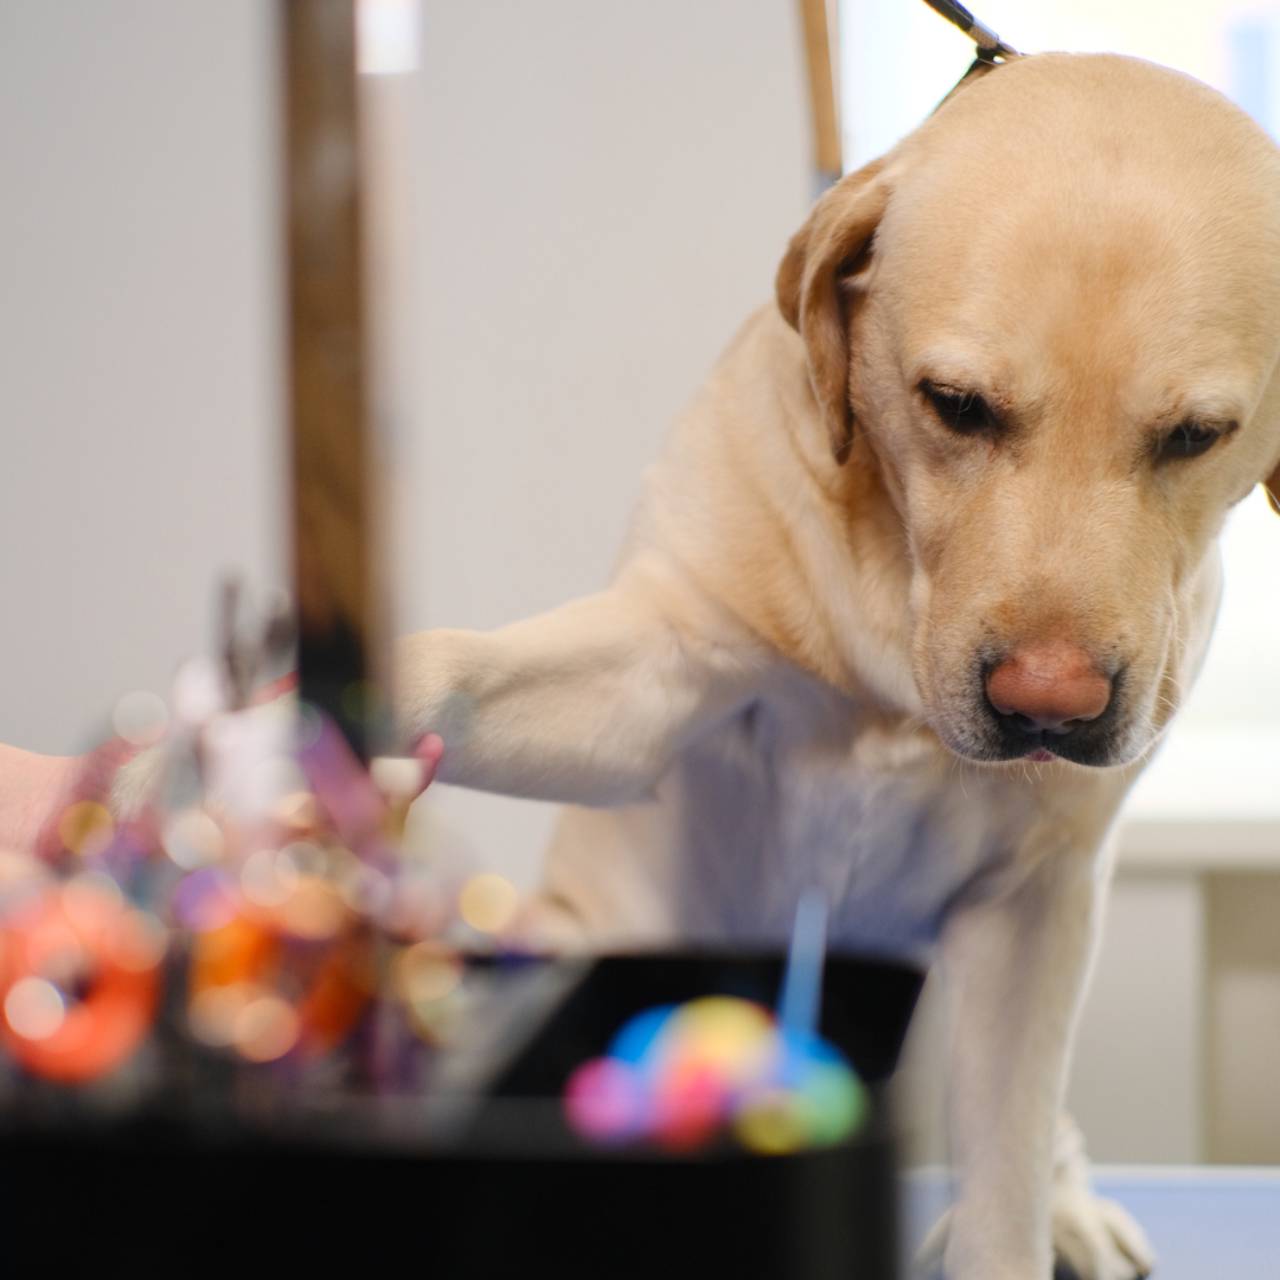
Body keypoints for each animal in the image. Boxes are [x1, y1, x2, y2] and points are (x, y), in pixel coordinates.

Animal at [389, 53, 1280, 1278]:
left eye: (1195, 434)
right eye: (955, 405)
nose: (1046, 706)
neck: (893, 605)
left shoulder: (1028, 908)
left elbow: (1001, 1185)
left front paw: (1027, 1216)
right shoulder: (659, 665)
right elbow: (466, 670)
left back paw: (1069, 1204)